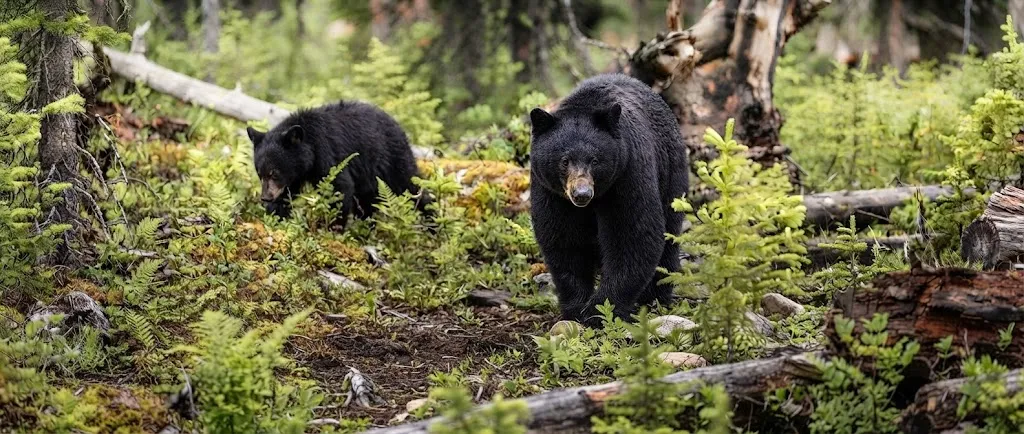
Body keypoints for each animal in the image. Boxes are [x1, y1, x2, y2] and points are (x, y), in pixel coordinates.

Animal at [247, 100, 431, 226]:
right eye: (260, 174)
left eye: (274, 173)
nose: (266, 197)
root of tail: (400, 127)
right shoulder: (295, 176)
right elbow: (286, 194)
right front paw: (275, 216)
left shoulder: (328, 155)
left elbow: (340, 187)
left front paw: (333, 228)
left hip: (392, 158)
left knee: (410, 185)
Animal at [528, 73, 689, 327]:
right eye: (564, 160)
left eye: (594, 160)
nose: (581, 194)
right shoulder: (551, 191)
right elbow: (563, 239)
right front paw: (576, 307)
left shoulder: (627, 174)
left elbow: (632, 234)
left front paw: (601, 310)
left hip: (671, 173)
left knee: (670, 232)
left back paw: (656, 296)